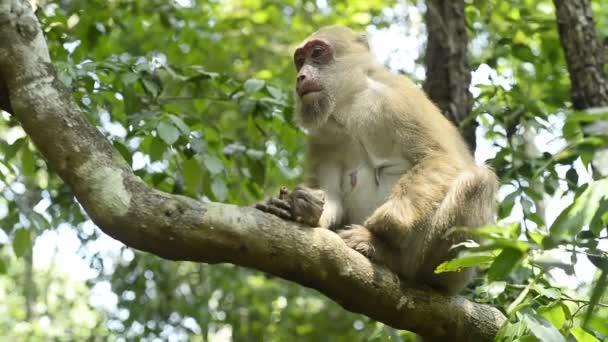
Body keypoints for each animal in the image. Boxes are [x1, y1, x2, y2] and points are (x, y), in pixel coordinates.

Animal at [254, 26, 496, 294]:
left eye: (317, 53)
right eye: (299, 61)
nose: (301, 76)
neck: (350, 104)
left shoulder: (398, 97)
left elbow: (439, 158)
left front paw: (386, 222)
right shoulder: (322, 136)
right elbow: (332, 195)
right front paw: (303, 206)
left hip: (446, 268)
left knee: (478, 181)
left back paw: (385, 251)